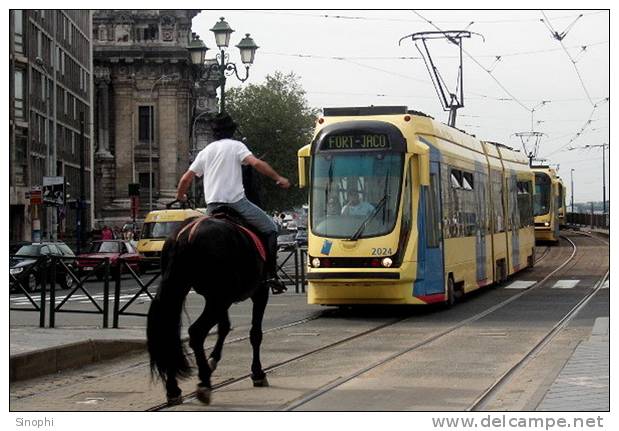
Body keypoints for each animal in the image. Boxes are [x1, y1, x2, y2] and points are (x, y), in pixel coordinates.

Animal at [147, 211, 272, 406]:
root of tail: (187, 235)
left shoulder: (218, 298)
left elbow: (224, 327)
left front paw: (212, 359)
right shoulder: (259, 292)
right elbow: (255, 334)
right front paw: (257, 373)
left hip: (184, 289)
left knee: (168, 332)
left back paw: (173, 389)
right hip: (218, 298)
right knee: (196, 332)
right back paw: (204, 382)